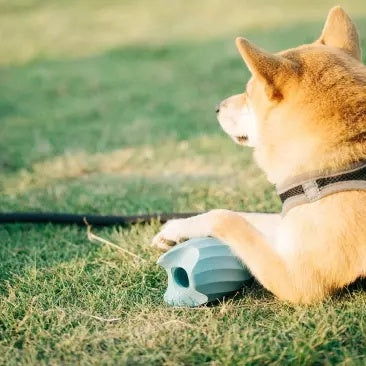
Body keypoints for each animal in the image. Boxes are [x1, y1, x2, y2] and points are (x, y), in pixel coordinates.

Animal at [152, 6, 366, 304]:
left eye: (248, 92)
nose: (217, 106)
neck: (346, 157)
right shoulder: (292, 225)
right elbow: (248, 216)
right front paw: (175, 228)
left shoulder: (300, 282)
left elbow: (225, 217)